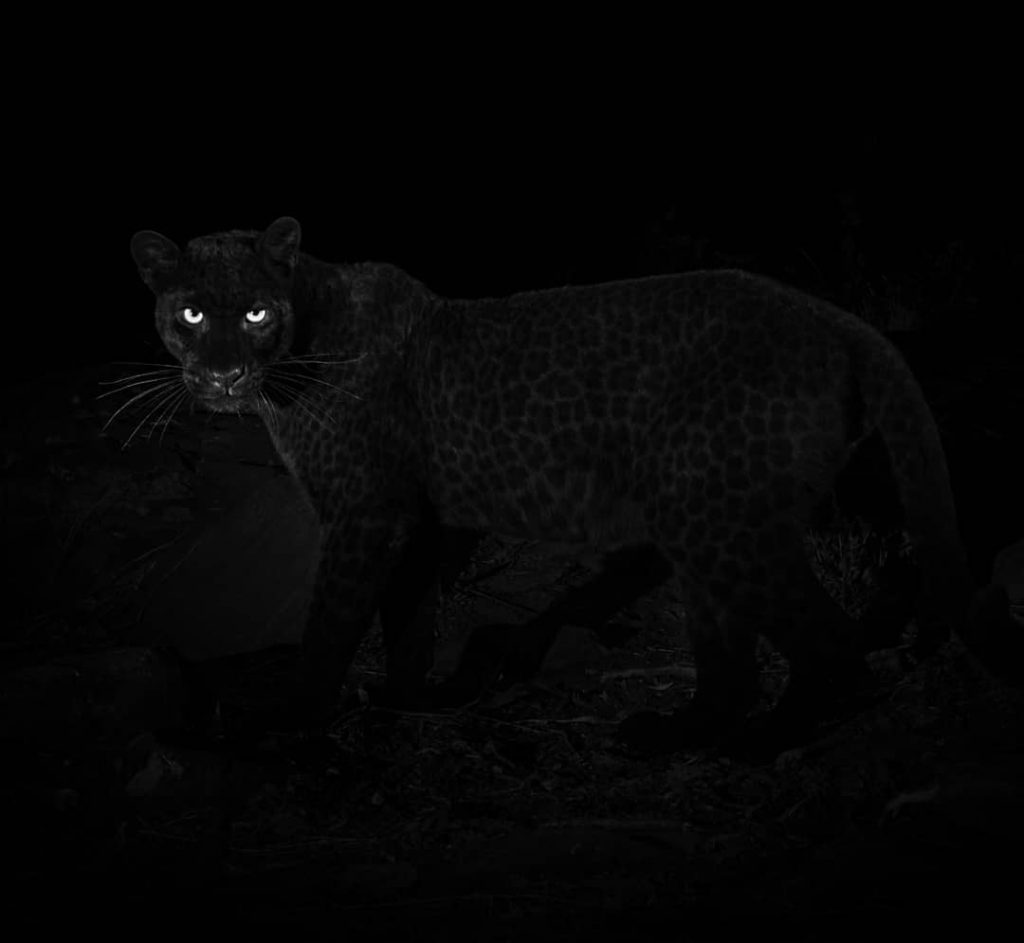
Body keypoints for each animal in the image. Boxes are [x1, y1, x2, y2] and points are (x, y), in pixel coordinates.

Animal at [129, 216, 1006, 751]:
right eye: (191, 314)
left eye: (255, 314)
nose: (222, 375)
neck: (302, 341)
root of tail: (836, 318)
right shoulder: (417, 521)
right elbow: (408, 617)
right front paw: (404, 701)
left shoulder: (365, 516)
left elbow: (332, 624)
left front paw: (295, 720)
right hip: (704, 520)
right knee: (734, 656)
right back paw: (675, 733)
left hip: (724, 521)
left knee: (833, 646)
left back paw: (767, 743)